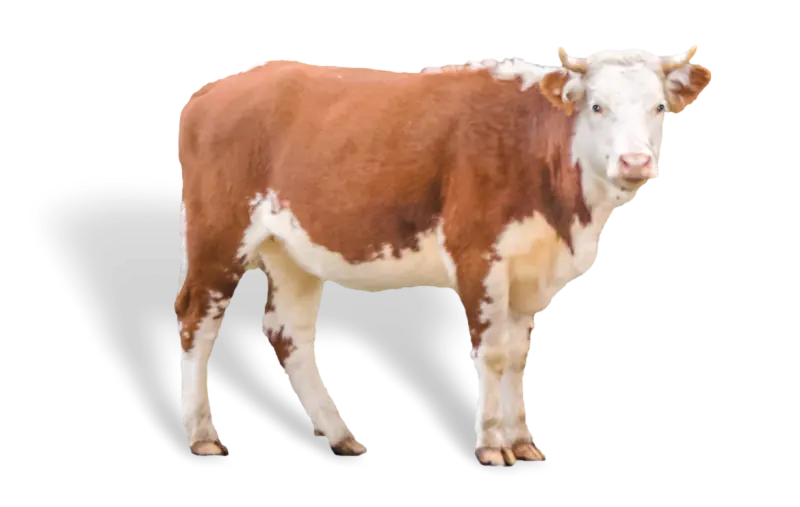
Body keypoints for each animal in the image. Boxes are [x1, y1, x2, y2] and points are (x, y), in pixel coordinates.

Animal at [175, 47, 712, 466]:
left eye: (658, 106)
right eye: (597, 106)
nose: (635, 162)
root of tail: (214, 90)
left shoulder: (530, 268)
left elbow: (517, 355)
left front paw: (523, 441)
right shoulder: (477, 252)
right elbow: (491, 352)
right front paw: (492, 445)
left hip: (293, 252)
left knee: (289, 332)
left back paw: (341, 434)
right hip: (217, 233)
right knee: (196, 320)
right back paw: (203, 435)